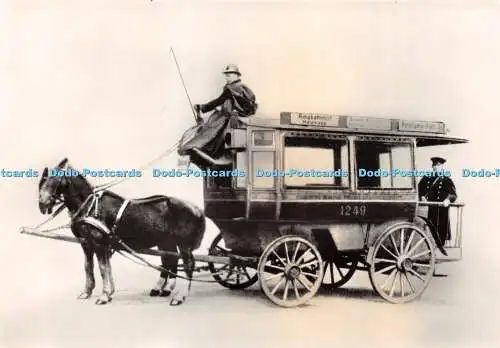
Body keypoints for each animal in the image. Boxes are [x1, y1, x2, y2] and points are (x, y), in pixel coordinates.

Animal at [36, 159, 205, 306]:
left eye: (56, 180)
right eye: (42, 181)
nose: (42, 205)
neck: (89, 206)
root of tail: (197, 210)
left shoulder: (98, 242)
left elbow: (102, 268)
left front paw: (104, 295)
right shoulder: (87, 243)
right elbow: (90, 267)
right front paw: (89, 292)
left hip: (183, 244)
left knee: (188, 265)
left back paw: (180, 296)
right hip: (166, 242)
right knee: (170, 260)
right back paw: (163, 289)